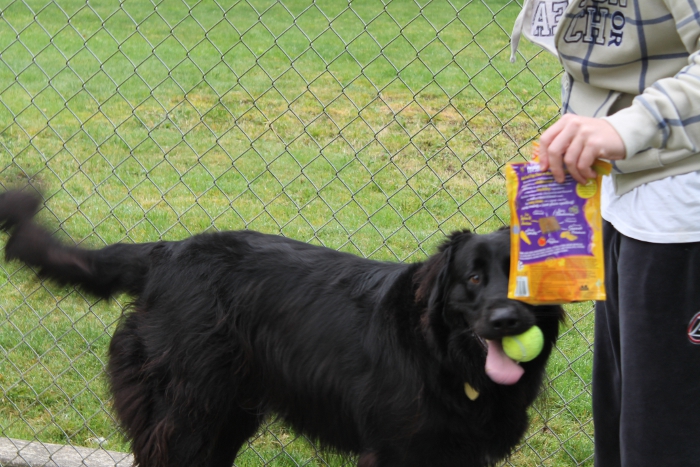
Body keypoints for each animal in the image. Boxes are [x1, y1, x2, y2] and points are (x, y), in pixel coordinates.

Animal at [0, 191, 564, 467]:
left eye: (527, 278)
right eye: (473, 278)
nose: (507, 319)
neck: (446, 360)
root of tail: (167, 251)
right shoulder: (397, 450)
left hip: (227, 411)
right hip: (186, 410)